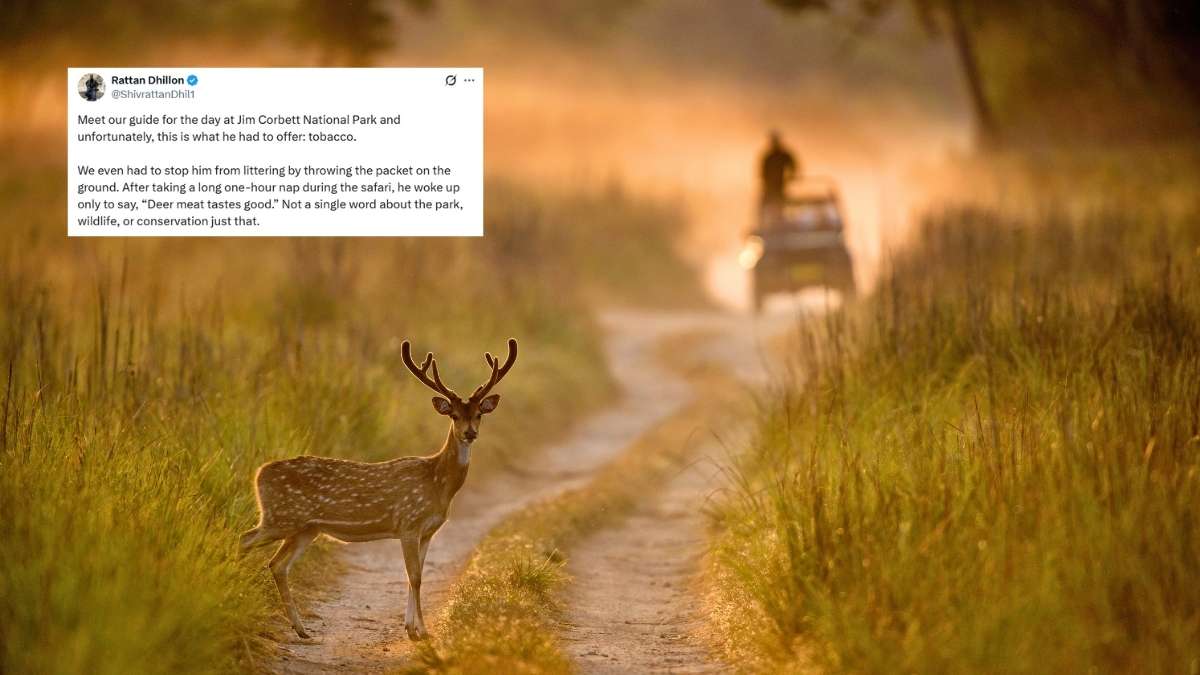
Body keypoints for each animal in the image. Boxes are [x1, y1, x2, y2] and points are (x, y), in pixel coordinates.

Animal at [239, 338, 517, 641]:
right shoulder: (409, 522)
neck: (437, 484)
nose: (469, 433)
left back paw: (301, 629)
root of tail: (259, 473)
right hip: (280, 517)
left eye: (478, 414)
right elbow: (415, 576)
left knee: (278, 564)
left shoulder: (428, 531)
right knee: (245, 539)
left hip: (306, 528)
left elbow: (416, 576)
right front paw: (421, 631)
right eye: (454, 415)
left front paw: (411, 627)